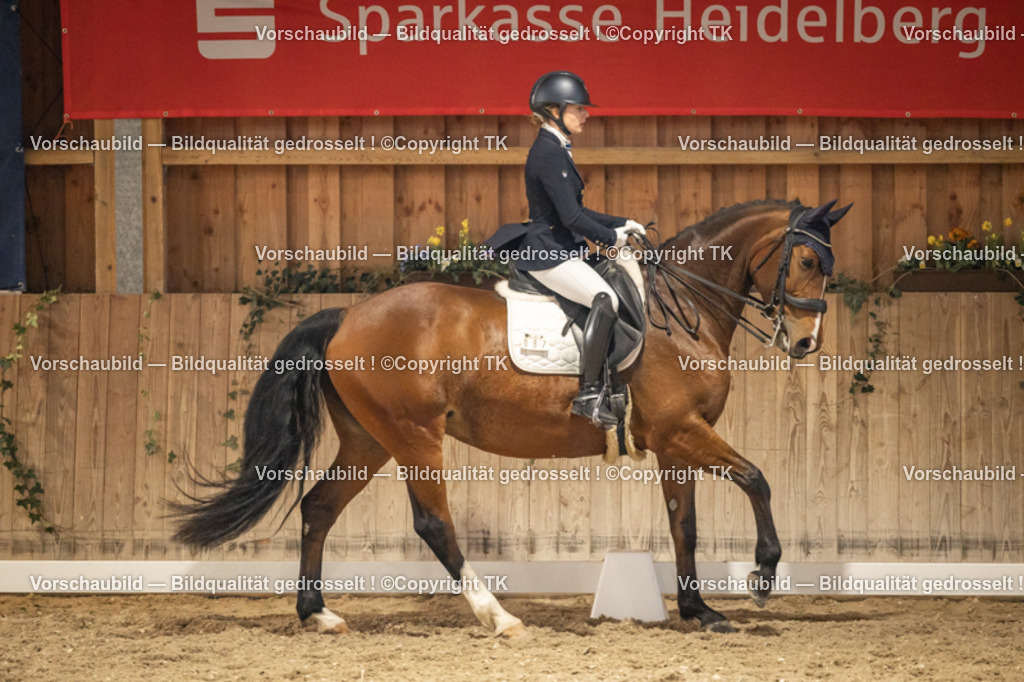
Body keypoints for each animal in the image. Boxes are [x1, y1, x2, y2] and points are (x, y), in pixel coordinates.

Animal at [173, 198, 851, 636]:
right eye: (808, 263)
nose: (806, 344)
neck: (682, 312)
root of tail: (346, 315)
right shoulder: (682, 430)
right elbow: (757, 478)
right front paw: (762, 578)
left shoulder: (674, 443)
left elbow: (684, 526)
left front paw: (700, 612)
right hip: (414, 437)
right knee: (433, 525)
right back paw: (496, 616)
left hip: (370, 440)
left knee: (317, 508)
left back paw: (318, 613)